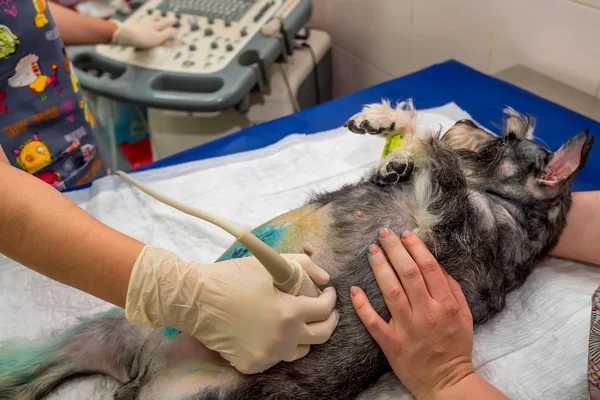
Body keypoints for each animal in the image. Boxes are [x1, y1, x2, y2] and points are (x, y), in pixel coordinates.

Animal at [0, 101, 592, 400]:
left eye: (503, 141)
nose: (468, 120)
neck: (503, 204)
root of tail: (142, 370)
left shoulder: (447, 217)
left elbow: (437, 153)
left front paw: (402, 129)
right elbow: (418, 157)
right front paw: (385, 132)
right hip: (87, 340)